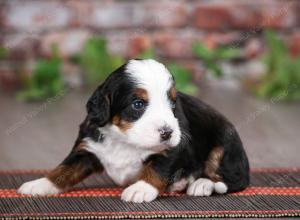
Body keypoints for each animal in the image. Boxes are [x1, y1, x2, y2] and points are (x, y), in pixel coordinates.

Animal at [17, 58, 250, 203]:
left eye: (172, 104)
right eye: (138, 104)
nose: (167, 132)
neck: (125, 140)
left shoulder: (176, 146)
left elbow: (158, 168)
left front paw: (141, 188)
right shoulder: (87, 148)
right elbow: (64, 169)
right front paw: (39, 185)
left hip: (224, 143)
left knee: (232, 179)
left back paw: (202, 184)